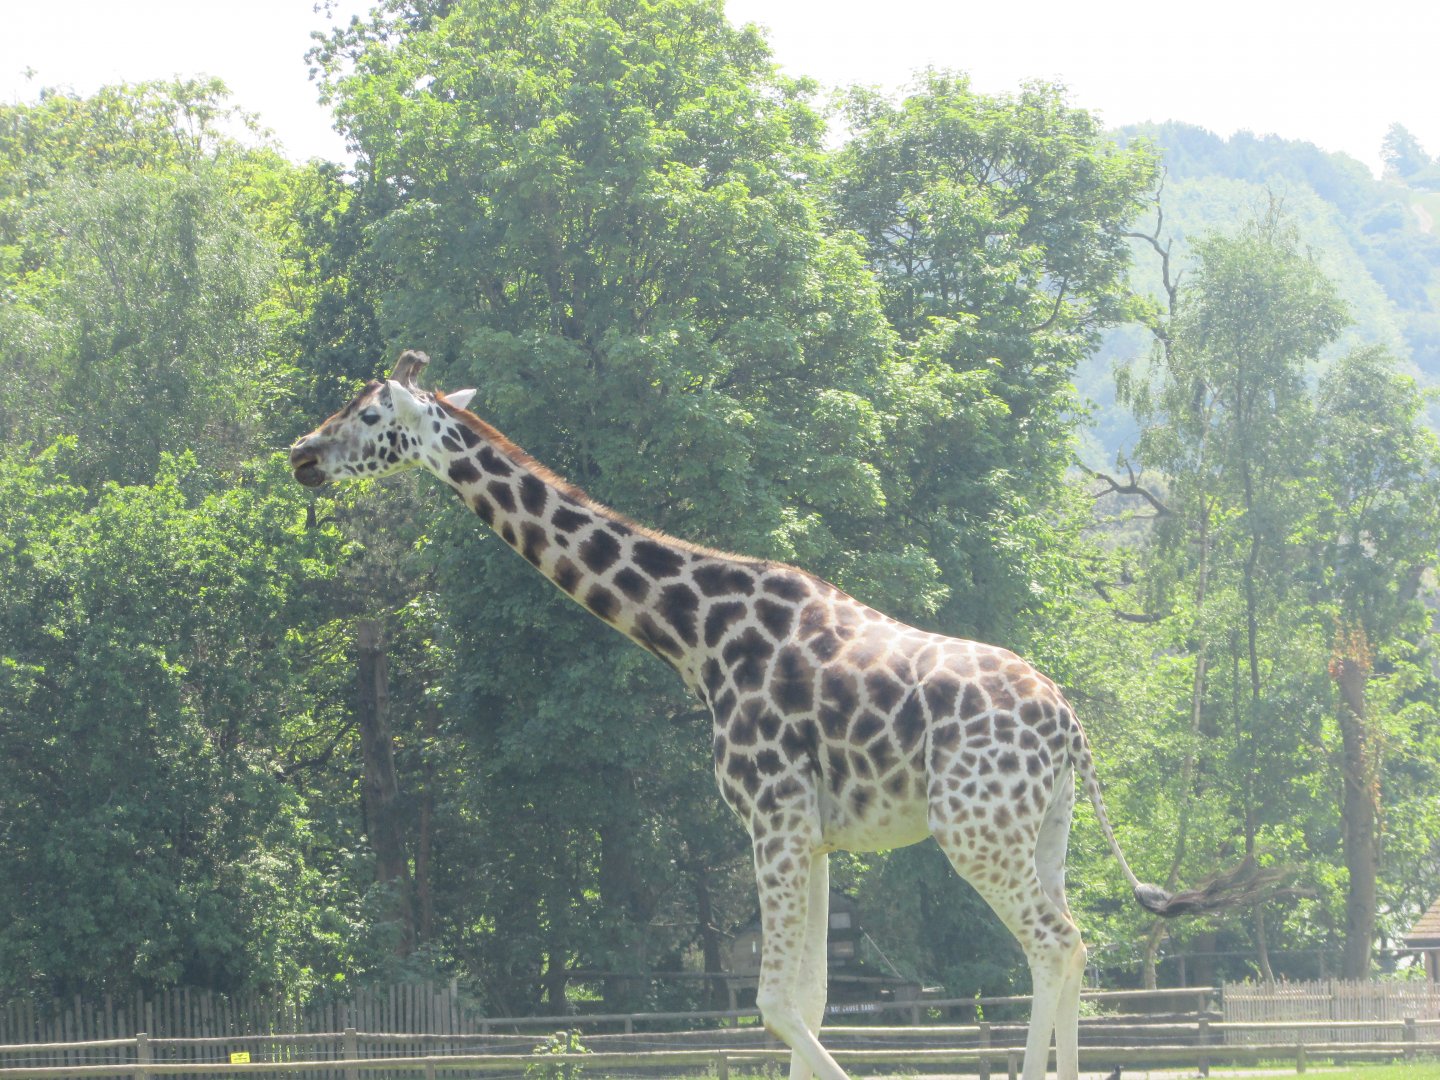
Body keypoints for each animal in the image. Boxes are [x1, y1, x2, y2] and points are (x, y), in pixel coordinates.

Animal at [289, 350, 1213, 1080]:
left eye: (369, 413)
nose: (301, 453)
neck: (696, 638)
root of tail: (1068, 724)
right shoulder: (816, 832)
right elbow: (811, 1000)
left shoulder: (773, 815)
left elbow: (774, 1004)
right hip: (1042, 829)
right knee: (1072, 943)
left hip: (974, 828)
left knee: (1050, 943)